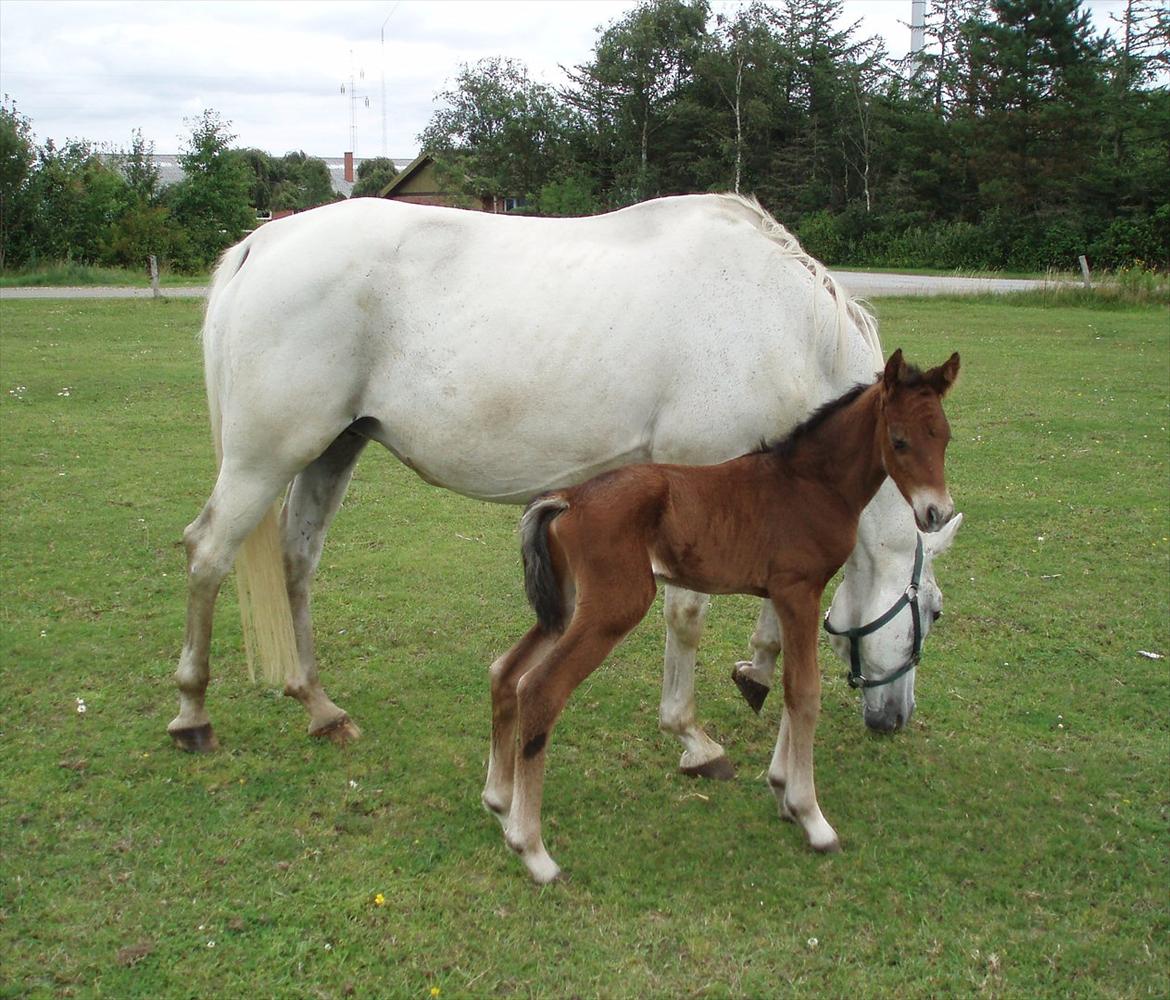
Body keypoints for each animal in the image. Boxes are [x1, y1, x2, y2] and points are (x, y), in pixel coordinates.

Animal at [173, 194, 959, 776]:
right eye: (934, 611)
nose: (896, 720)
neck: (776, 321)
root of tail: (265, 241)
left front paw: (757, 671)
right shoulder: (700, 471)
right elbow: (686, 616)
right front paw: (693, 738)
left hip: (333, 450)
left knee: (296, 563)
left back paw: (320, 708)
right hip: (266, 456)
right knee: (208, 554)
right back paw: (192, 715)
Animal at [482, 348, 959, 879]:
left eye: (944, 436)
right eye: (899, 440)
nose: (936, 511)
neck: (811, 483)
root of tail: (568, 498)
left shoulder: (788, 594)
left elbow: (788, 684)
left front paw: (783, 792)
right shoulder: (799, 590)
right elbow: (805, 692)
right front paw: (813, 819)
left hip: (564, 607)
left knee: (505, 672)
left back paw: (499, 802)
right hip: (613, 606)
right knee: (540, 690)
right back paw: (532, 850)